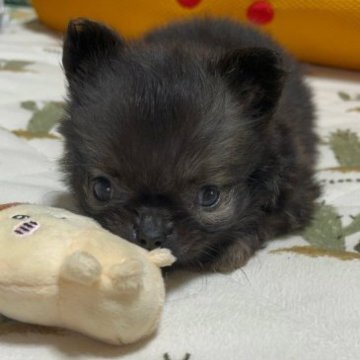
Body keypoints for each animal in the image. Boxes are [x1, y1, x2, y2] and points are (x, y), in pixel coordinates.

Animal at [59, 16, 320, 270]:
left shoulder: (296, 198)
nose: (150, 234)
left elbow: (262, 221)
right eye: (102, 188)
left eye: (209, 196)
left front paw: (232, 248)